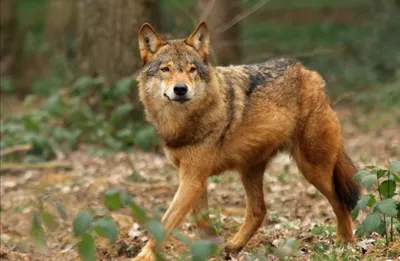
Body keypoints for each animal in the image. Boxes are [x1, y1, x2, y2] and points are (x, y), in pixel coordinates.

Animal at [133, 21, 360, 258]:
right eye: (165, 69)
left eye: (191, 69)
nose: (180, 89)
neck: (183, 124)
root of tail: (309, 72)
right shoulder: (193, 177)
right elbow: (201, 221)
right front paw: (210, 249)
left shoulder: (193, 178)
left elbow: (166, 221)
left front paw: (143, 256)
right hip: (250, 170)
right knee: (259, 210)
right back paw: (234, 245)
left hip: (313, 170)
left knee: (341, 201)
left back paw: (345, 243)